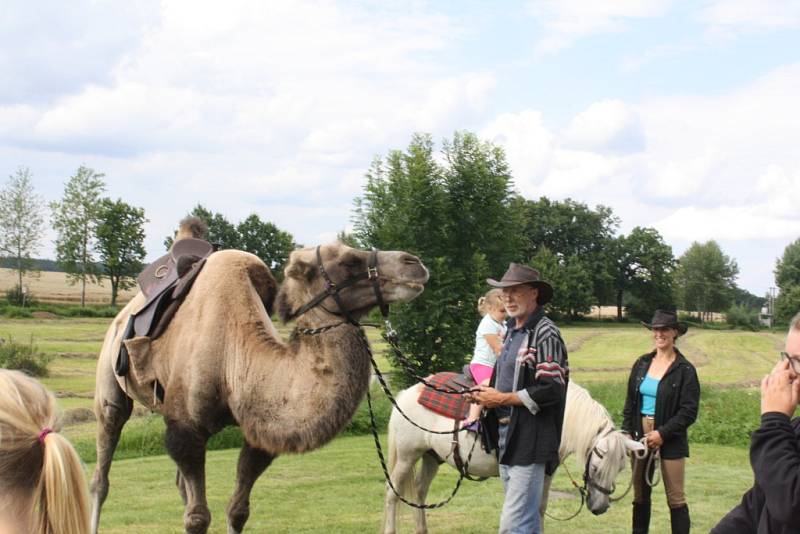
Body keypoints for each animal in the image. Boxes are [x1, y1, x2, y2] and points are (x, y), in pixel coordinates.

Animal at [90, 241, 428, 532]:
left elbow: (237, 510)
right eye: (349, 261)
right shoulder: (186, 428)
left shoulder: (261, 434)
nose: (416, 264)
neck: (234, 356)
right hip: (110, 381)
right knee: (102, 473)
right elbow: (197, 518)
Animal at [382, 384, 644, 532]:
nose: (600, 508)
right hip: (406, 457)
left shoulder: (545, 471)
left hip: (430, 457)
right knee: (392, 493)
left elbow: (539, 508)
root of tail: (405, 395)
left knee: (419, 493)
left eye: (621, 469)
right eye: (597, 467)